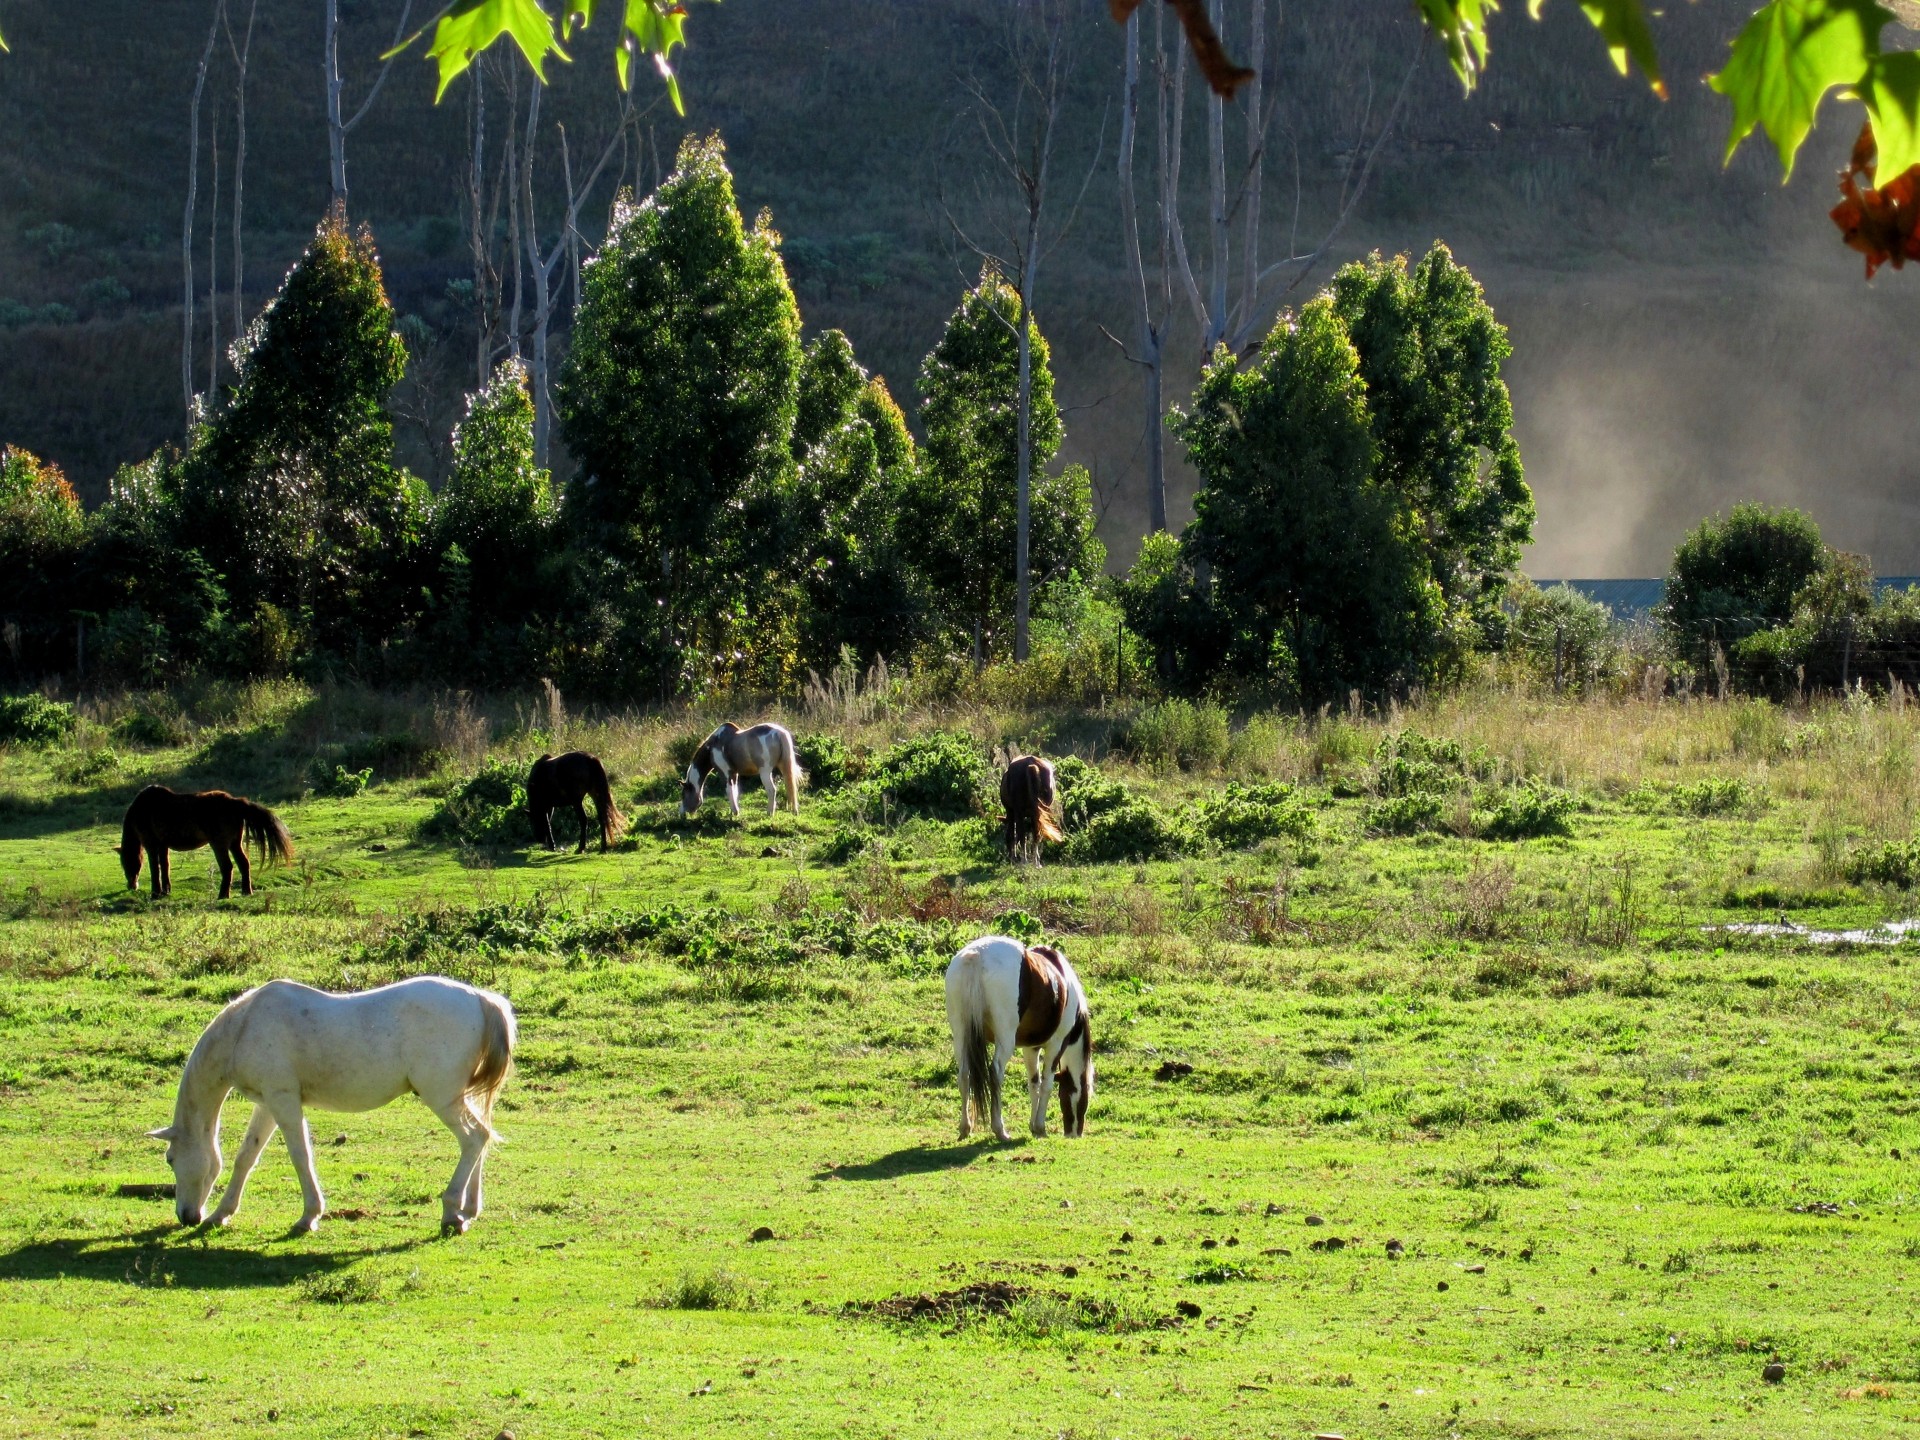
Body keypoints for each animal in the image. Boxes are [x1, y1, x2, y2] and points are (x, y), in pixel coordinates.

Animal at [120, 791, 295, 902]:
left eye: (125, 863)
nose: (131, 885)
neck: (141, 808)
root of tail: (234, 802)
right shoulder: (163, 845)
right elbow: (164, 866)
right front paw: (165, 891)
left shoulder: (151, 843)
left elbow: (154, 868)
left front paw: (155, 893)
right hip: (234, 843)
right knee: (243, 863)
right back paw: (246, 891)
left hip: (219, 844)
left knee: (228, 867)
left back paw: (223, 895)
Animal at [148, 975, 514, 1236]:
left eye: (170, 1159)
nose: (187, 1217)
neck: (244, 1027)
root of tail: (482, 999)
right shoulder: (268, 1103)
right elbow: (246, 1157)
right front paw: (221, 1214)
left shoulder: (283, 1100)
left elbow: (300, 1156)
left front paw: (308, 1217)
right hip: (458, 1098)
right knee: (481, 1139)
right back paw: (469, 1210)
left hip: (441, 1097)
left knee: (474, 1139)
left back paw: (452, 1212)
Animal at [944, 936, 1098, 1152]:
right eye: (1084, 1097)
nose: (1074, 1133)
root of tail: (977, 954)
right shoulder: (1056, 1045)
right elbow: (1047, 1084)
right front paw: (1040, 1127)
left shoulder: (1030, 1048)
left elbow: (1034, 1083)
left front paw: (1033, 1126)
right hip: (1005, 1039)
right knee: (995, 1073)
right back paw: (1000, 1130)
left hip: (961, 1035)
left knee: (964, 1075)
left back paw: (966, 1128)